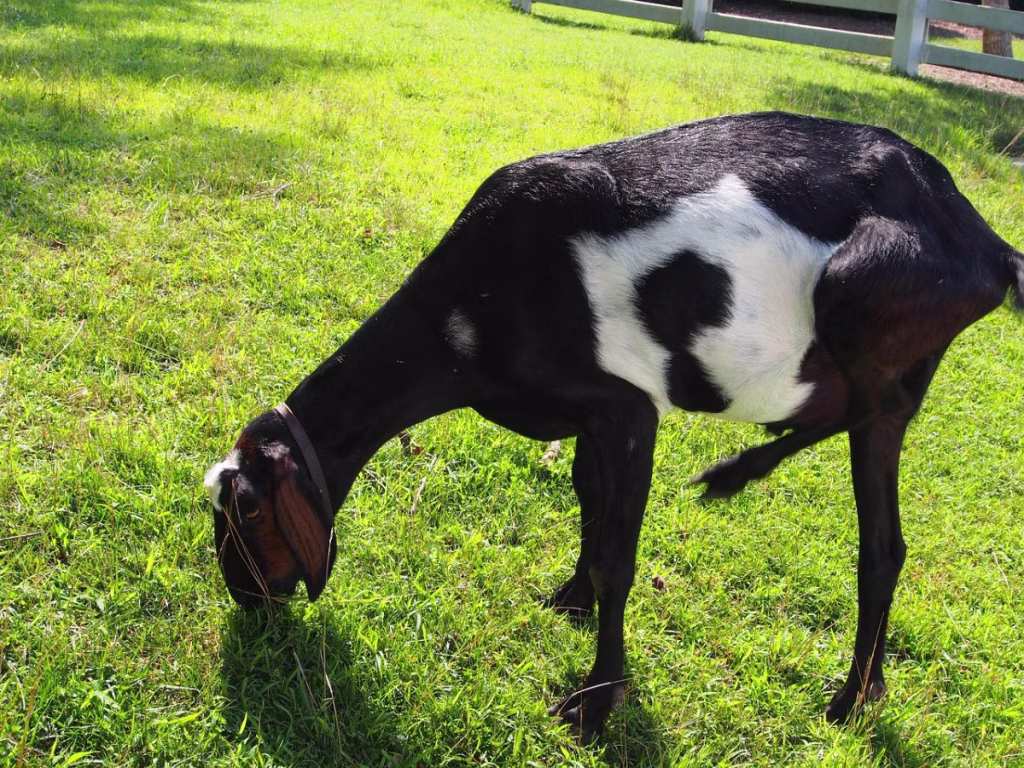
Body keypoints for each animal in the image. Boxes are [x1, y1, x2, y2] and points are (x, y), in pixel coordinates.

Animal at [205, 111, 1024, 742]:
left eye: (248, 507)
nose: (247, 600)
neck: (468, 309)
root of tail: (987, 245)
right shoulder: (586, 420)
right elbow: (588, 502)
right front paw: (570, 599)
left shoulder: (628, 410)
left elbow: (617, 560)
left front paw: (596, 703)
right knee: (881, 536)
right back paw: (863, 682)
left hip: (866, 296)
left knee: (866, 440)